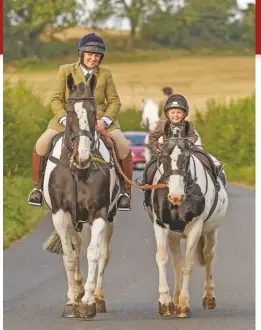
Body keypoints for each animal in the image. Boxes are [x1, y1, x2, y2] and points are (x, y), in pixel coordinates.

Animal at [42, 73, 121, 318]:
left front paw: (87, 302)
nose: (83, 157)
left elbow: (93, 253)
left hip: (108, 218)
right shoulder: (60, 214)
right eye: (69, 112)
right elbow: (69, 255)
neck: (78, 171)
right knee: (75, 248)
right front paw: (72, 301)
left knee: (102, 253)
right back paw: (75, 294)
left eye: (94, 112)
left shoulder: (99, 213)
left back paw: (97, 298)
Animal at [146, 123, 228, 318]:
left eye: (187, 157)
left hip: (210, 231)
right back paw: (174, 300)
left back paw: (208, 297)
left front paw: (183, 305)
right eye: (164, 156)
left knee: (208, 256)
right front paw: (166, 303)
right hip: (174, 236)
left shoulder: (196, 229)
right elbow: (163, 259)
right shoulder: (161, 226)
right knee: (176, 262)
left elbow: (188, 264)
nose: (175, 196)